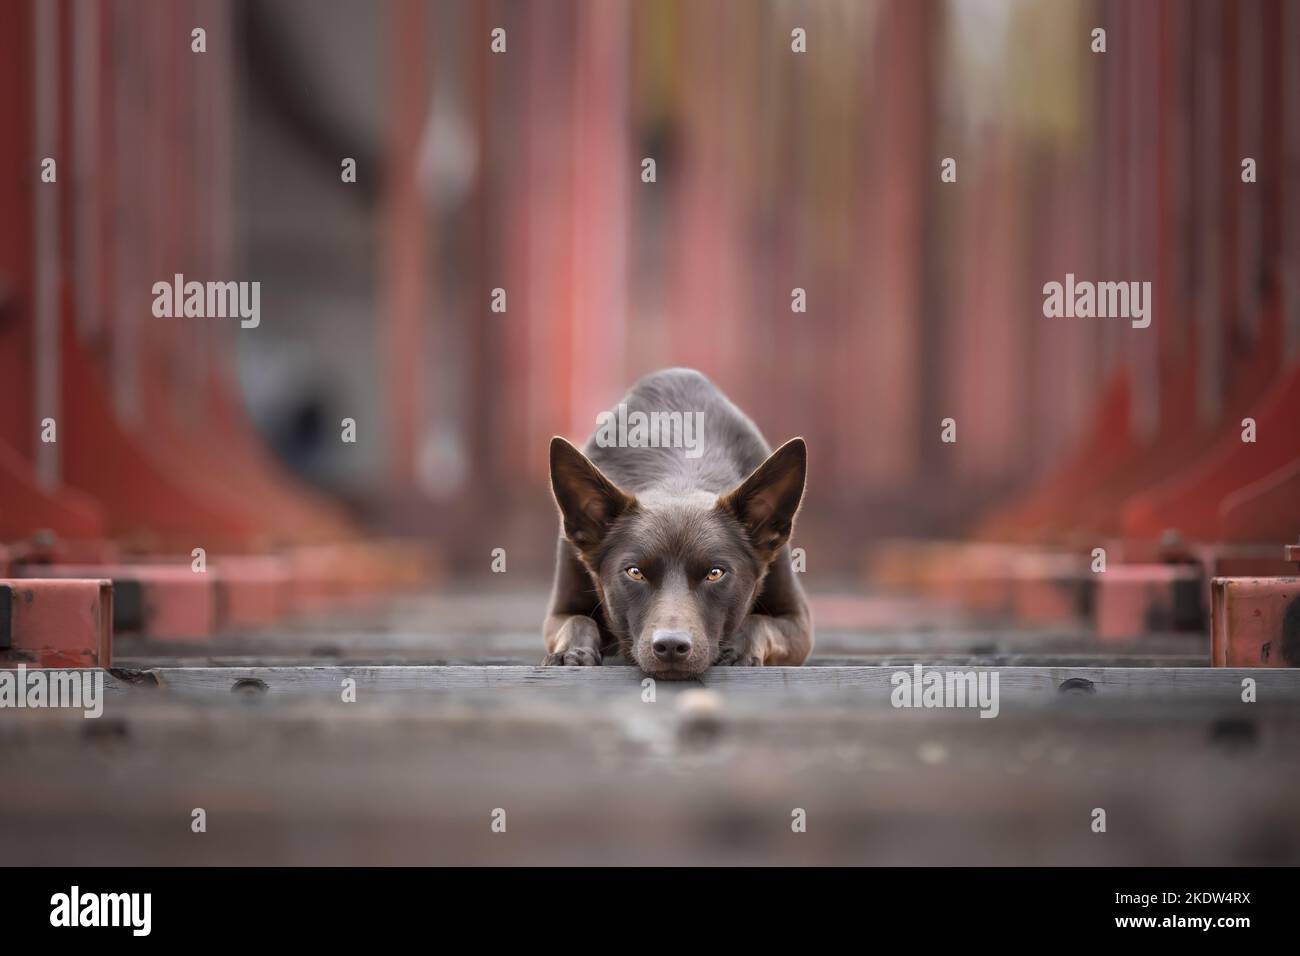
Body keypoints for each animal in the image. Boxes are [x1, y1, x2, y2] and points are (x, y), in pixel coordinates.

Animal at [540, 369, 811, 681]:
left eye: (715, 573)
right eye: (634, 572)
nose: (671, 646)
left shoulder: (798, 621)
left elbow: (759, 621)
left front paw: (738, 649)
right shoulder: (560, 609)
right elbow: (576, 619)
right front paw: (571, 652)